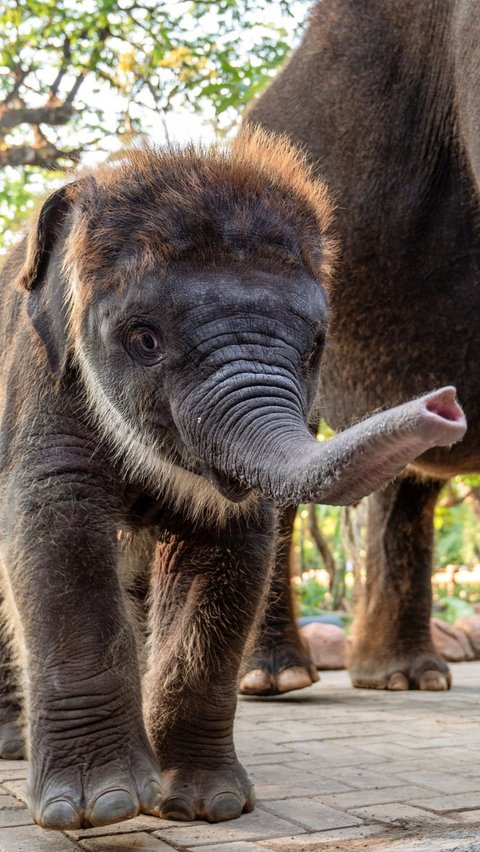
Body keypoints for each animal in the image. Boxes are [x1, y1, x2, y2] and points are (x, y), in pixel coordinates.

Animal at [0, 130, 464, 828]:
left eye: (316, 346)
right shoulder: (42, 381)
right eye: (144, 339)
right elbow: (56, 529)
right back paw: (12, 746)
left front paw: (205, 805)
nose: (447, 403)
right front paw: (100, 807)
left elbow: (234, 547)